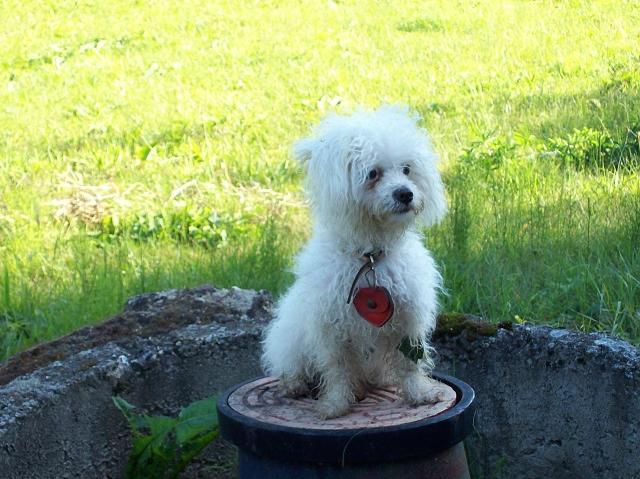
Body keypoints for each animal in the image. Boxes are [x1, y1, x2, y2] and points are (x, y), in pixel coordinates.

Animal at [262, 106, 448, 420]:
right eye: (373, 173)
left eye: (407, 169)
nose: (405, 193)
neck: (370, 257)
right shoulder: (330, 330)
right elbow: (337, 370)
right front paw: (335, 404)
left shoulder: (407, 320)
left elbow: (409, 364)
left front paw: (419, 394)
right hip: (290, 336)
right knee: (292, 365)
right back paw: (294, 384)